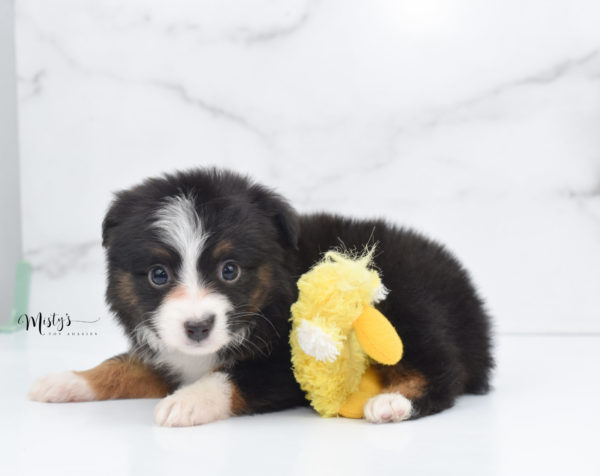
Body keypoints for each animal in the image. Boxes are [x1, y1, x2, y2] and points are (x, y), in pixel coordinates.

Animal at [28, 167, 492, 424]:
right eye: (158, 275)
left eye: (229, 270)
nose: (197, 328)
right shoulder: (167, 352)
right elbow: (121, 365)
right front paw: (66, 380)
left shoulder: (285, 363)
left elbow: (233, 376)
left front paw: (186, 403)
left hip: (407, 302)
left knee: (442, 369)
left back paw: (392, 402)